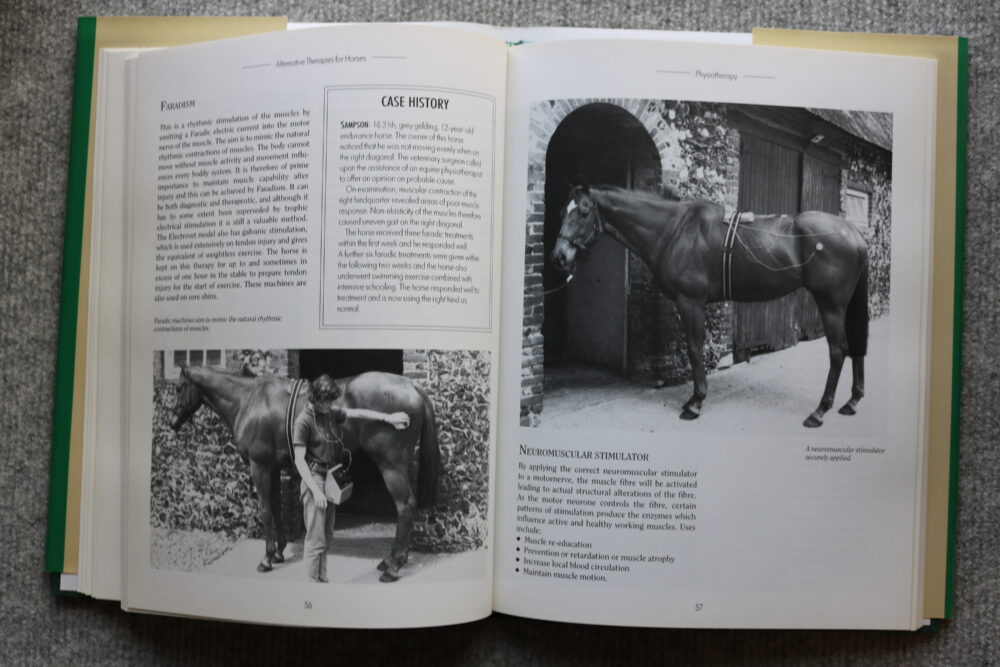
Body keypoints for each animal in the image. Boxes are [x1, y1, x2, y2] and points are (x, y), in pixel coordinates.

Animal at [169, 365, 440, 582]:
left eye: (179, 387)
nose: (172, 422)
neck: (249, 400)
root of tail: (410, 385)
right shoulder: (273, 468)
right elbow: (276, 507)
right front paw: (278, 552)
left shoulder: (260, 467)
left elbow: (265, 510)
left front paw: (266, 559)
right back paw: (390, 561)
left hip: (391, 465)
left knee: (405, 506)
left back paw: (394, 567)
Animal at [550, 184, 869, 428]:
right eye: (562, 211)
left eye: (583, 212)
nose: (560, 257)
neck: (674, 230)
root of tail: (854, 234)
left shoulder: (690, 302)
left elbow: (694, 349)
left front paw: (695, 403)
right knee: (855, 346)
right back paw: (852, 401)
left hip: (831, 305)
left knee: (838, 351)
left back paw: (820, 410)